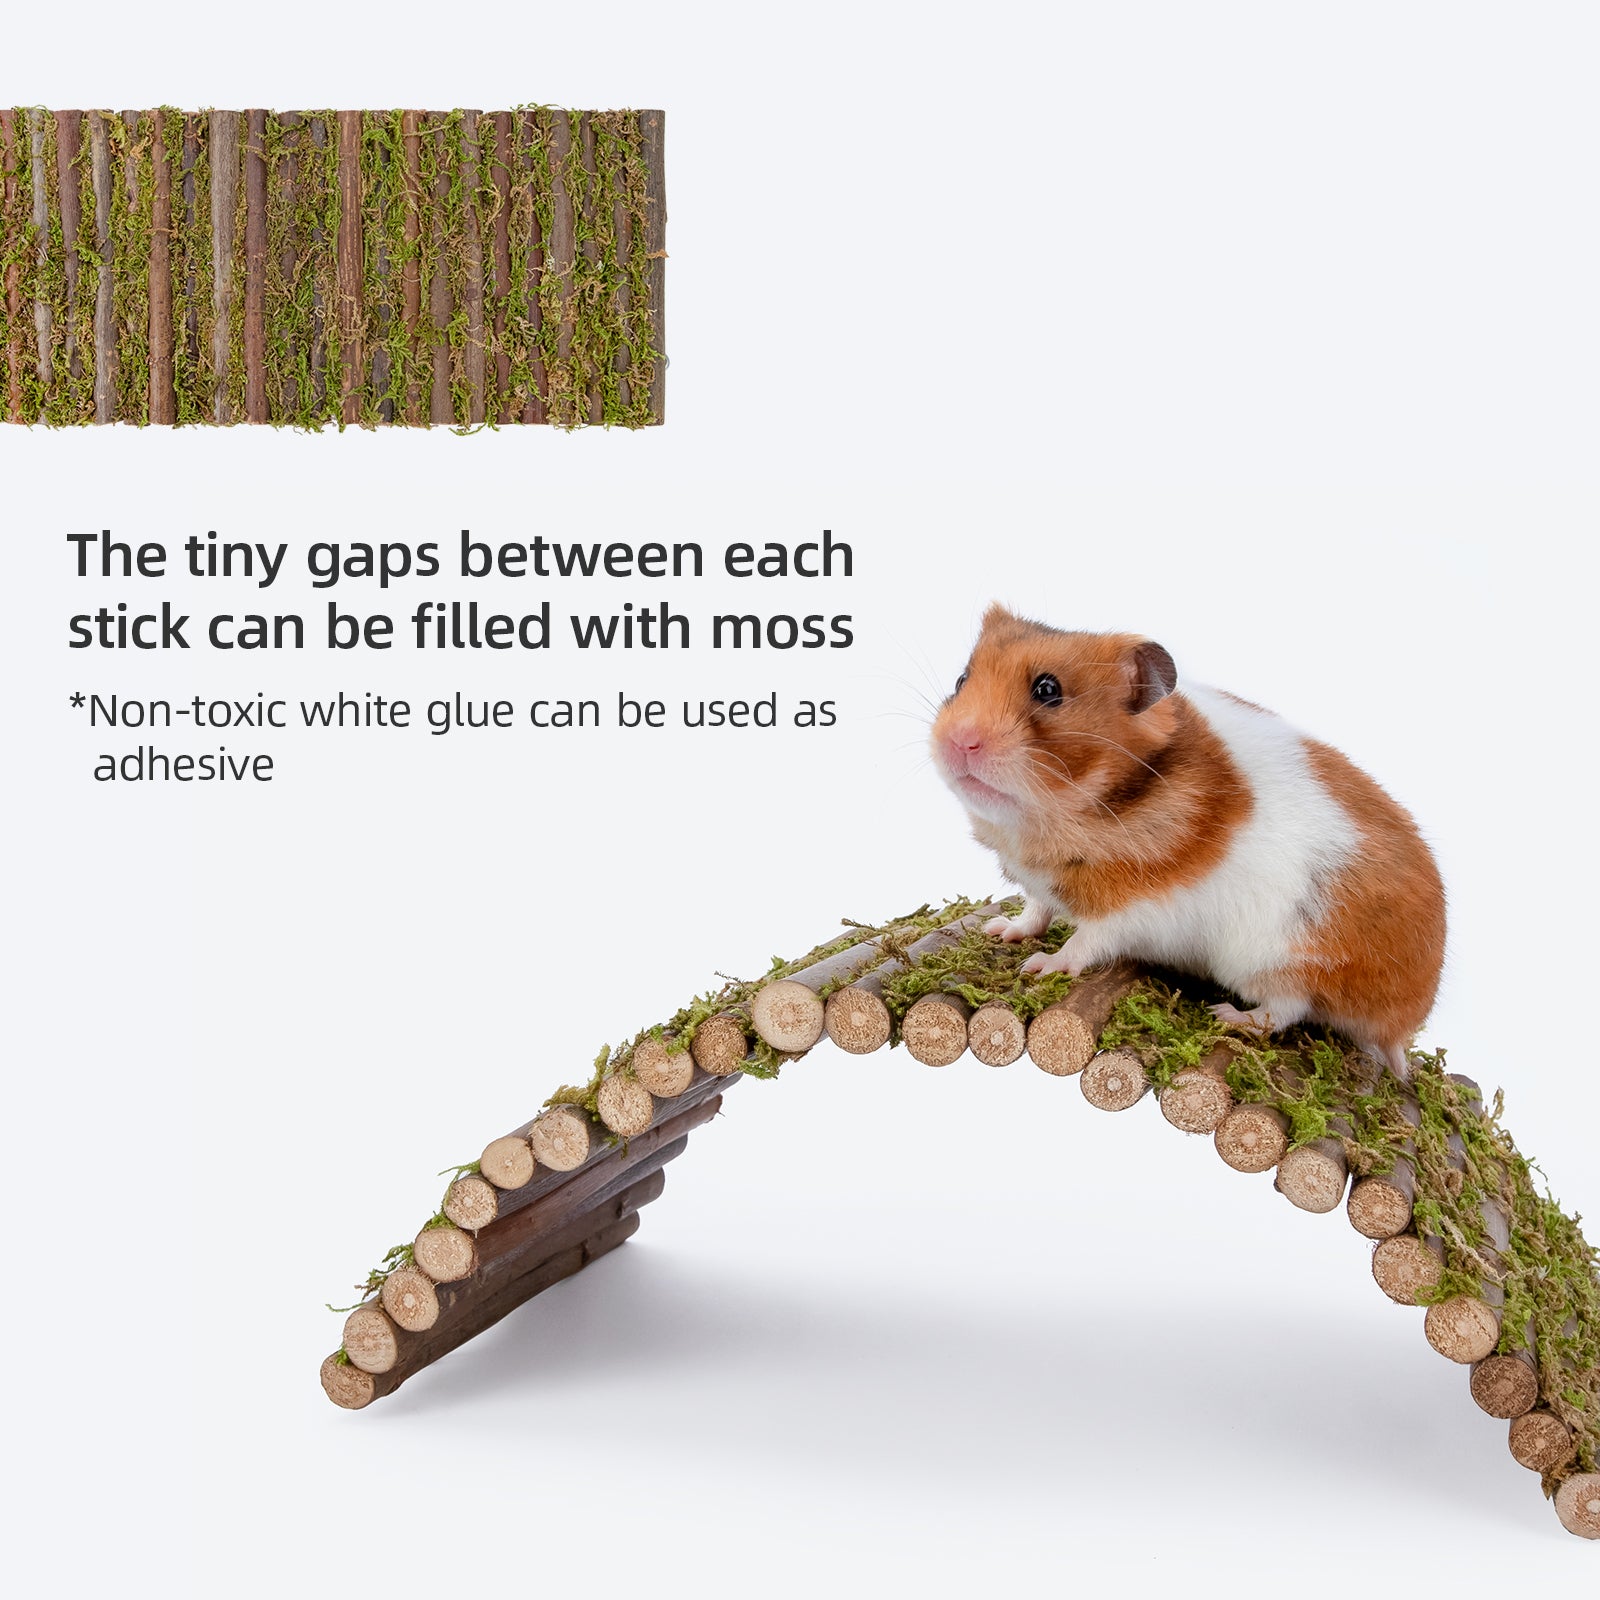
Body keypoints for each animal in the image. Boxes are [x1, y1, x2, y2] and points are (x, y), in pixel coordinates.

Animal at [929, 604, 1446, 1077]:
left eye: (1048, 689)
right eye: (960, 679)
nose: (958, 741)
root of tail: (1399, 1026)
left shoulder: (1131, 906)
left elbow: (1086, 941)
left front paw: (1042, 965)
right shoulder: (1042, 885)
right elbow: (1036, 910)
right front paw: (1000, 931)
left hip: (1277, 961)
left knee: (1285, 1010)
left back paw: (1228, 1014)